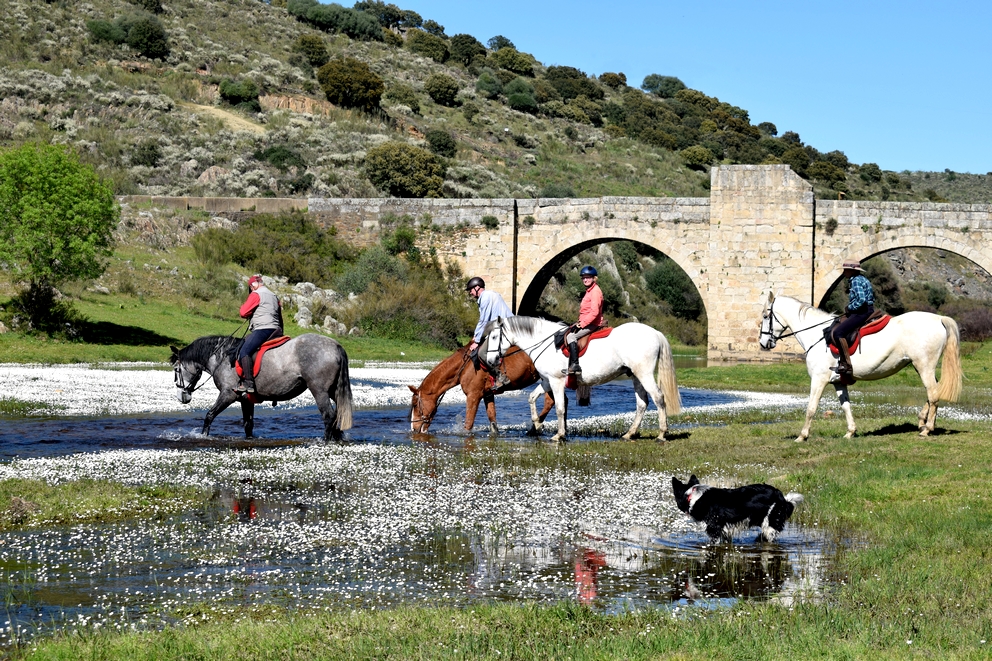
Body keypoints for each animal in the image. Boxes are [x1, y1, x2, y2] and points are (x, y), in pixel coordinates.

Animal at [170, 334, 353, 442]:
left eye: (176, 370)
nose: (181, 396)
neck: (223, 358)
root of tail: (335, 346)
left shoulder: (228, 395)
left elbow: (209, 416)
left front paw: (203, 436)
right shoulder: (245, 400)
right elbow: (248, 424)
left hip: (319, 391)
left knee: (328, 416)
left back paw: (326, 440)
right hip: (333, 391)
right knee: (337, 415)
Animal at [408, 344, 555, 434]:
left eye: (415, 404)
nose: (414, 429)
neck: (465, 366)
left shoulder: (473, 396)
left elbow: (469, 423)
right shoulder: (487, 394)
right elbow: (492, 419)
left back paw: (536, 427)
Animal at [485, 317, 682, 442]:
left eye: (494, 337)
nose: (490, 360)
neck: (545, 343)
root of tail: (655, 332)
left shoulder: (556, 381)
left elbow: (559, 408)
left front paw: (559, 435)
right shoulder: (547, 381)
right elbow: (531, 398)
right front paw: (538, 424)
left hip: (644, 374)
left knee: (658, 398)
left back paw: (662, 434)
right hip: (635, 376)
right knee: (642, 403)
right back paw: (629, 434)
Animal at [758, 291, 962, 441]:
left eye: (766, 316)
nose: (763, 343)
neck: (817, 335)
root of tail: (939, 319)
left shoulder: (819, 379)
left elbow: (811, 408)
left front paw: (802, 436)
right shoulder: (838, 381)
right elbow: (846, 406)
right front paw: (850, 432)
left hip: (924, 365)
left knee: (933, 393)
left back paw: (927, 429)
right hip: (921, 366)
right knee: (933, 392)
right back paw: (922, 422)